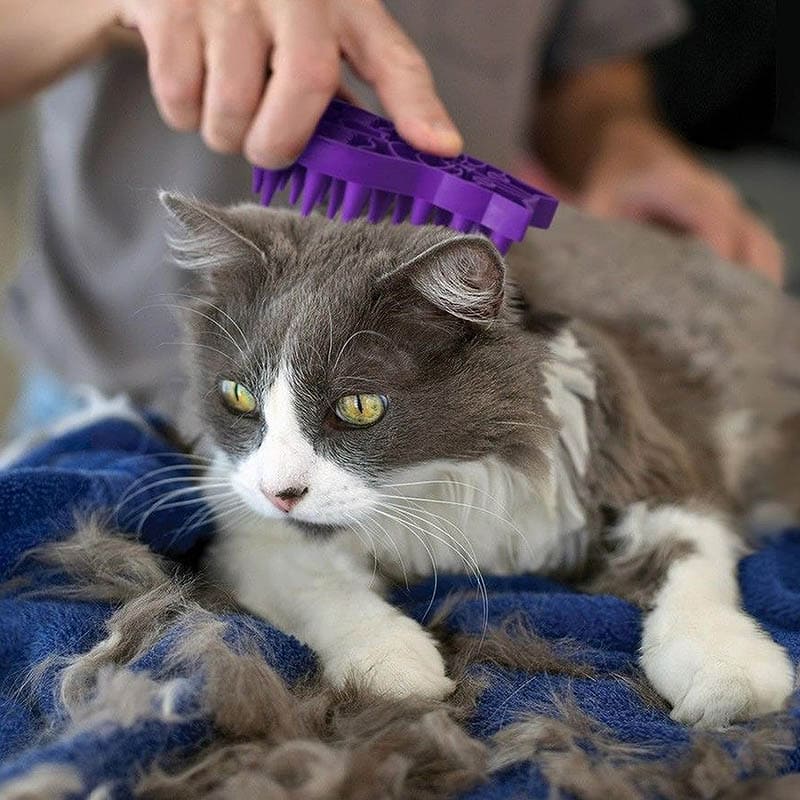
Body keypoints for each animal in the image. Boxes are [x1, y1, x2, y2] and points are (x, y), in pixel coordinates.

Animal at [161, 191, 800, 728]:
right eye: (238, 397)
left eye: (359, 407)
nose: (280, 493)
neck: (440, 480)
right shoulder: (247, 528)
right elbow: (318, 584)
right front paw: (395, 665)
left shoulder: (654, 466)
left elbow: (691, 565)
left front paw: (729, 675)